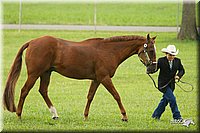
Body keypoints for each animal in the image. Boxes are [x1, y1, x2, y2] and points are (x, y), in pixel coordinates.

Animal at [2, 33, 157, 120]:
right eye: (150, 50)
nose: (154, 68)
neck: (108, 51)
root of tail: (32, 41)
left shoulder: (96, 79)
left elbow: (90, 97)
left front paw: (85, 116)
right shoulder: (105, 78)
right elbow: (116, 95)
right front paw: (124, 116)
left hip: (46, 73)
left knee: (43, 91)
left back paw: (54, 114)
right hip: (34, 74)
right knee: (24, 91)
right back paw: (19, 114)